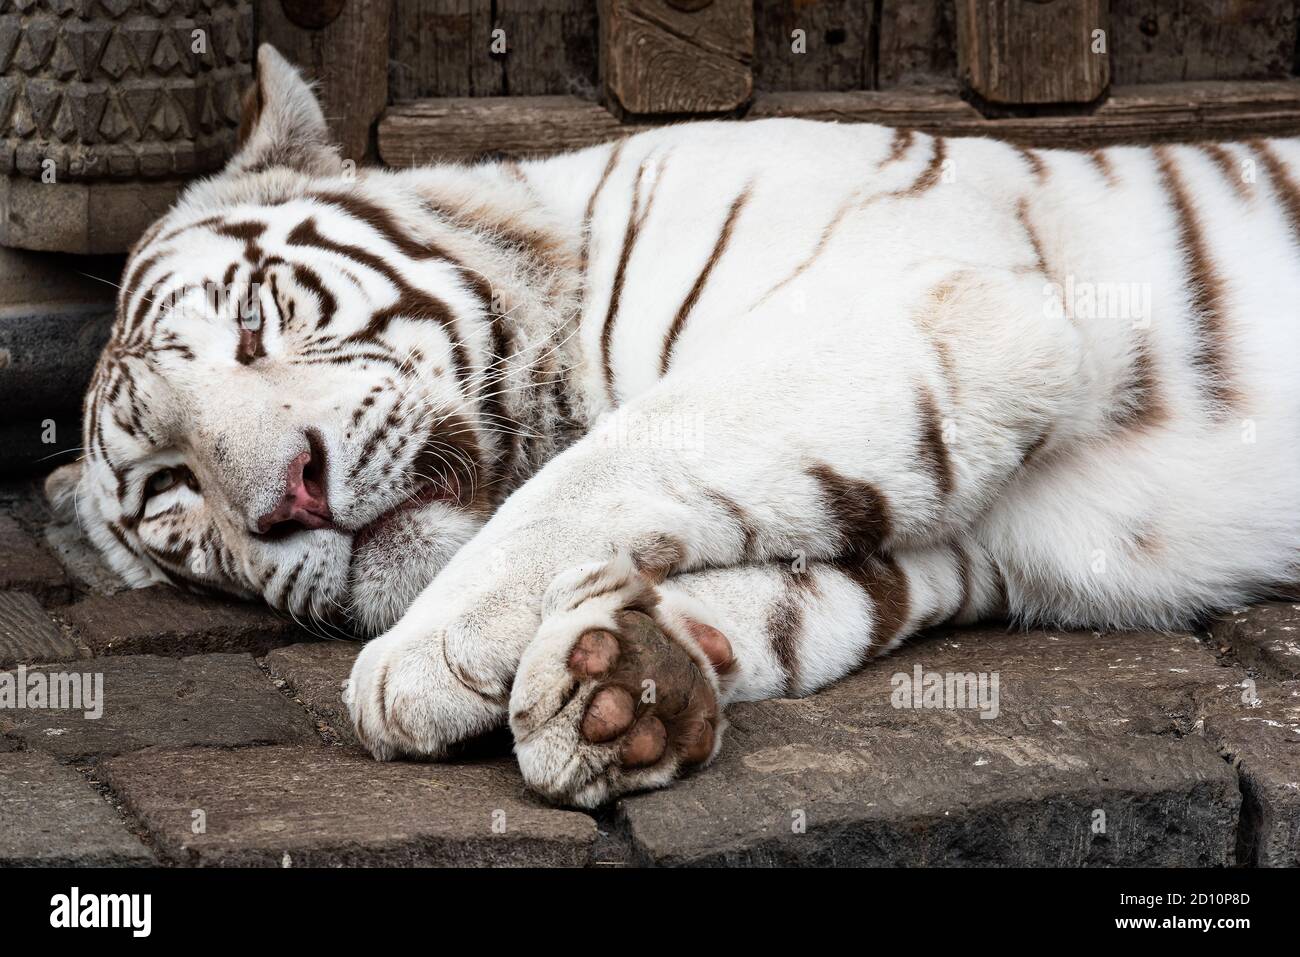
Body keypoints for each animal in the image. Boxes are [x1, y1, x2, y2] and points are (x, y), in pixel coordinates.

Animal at [48, 44, 1300, 808]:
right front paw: (626, 684)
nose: (288, 491)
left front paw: (418, 661)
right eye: (172, 486)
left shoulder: (933, 311)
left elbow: (617, 460)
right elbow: (806, 601)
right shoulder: (960, 536)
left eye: (256, 320)